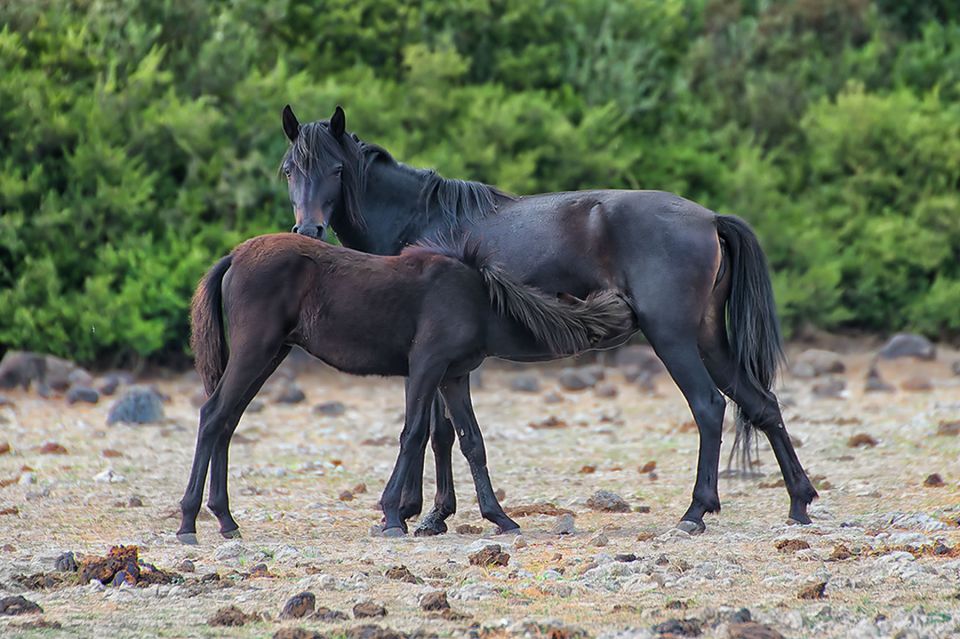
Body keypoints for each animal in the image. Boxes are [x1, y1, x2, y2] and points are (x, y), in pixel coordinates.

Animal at [280, 105, 816, 536]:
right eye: (289, 170)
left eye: (335, 168)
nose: (308, 229)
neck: (421, 221)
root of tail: (709, 218)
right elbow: (444, 432)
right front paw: (433, 514)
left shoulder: (432, 356)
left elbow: (434, 431)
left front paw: (419, 512)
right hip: (708, 339)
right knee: (762, 404)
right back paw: (799, 503)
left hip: (674, 339)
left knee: (708, 407)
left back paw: (695, 513)